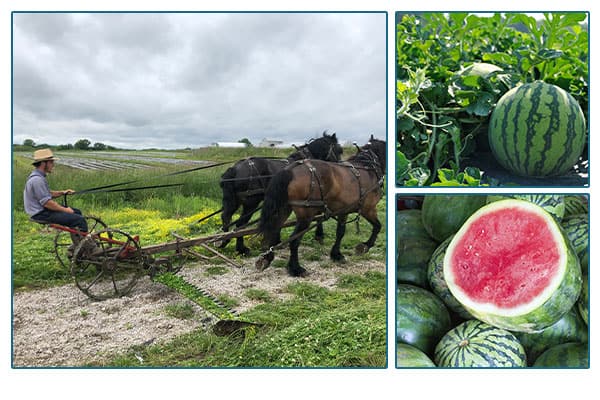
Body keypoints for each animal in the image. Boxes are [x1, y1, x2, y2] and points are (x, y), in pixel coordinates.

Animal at [256, 136, 386, 276]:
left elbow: (340, 232)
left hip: (284, 209)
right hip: (305, 216)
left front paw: (336, 254)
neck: (368, 167)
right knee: (294, 240)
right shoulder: (369, 208)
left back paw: (267, 257)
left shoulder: (343, 211)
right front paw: (365, 246)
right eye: (339, 150)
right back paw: (296, 268)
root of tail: (290, 170)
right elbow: (378, 226)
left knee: (274, 231)